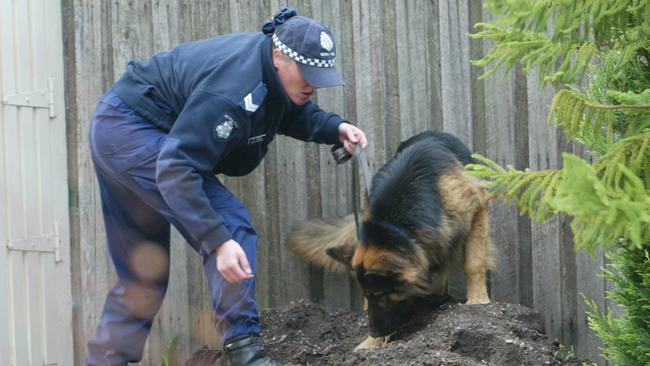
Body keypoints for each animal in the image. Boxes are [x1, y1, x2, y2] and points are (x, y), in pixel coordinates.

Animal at [286, 131, 494, 348]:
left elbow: (474, 263)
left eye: (381, 294)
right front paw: (372, 342)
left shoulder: (477, 208)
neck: (396, 225)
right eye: (367, 294)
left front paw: (478, 300)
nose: (374, 332)